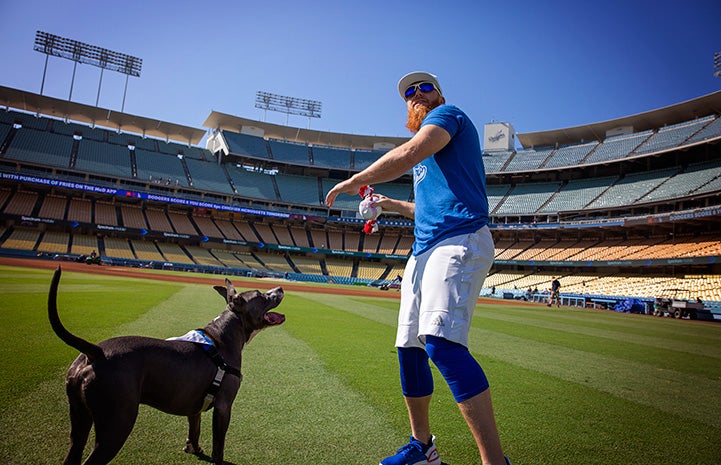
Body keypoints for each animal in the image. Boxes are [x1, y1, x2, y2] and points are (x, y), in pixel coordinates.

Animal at [47, 266, 284, 462]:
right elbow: (219, 447)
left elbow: (195, 430)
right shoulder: (224, 406)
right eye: (261, 296)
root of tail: (95, 352)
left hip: (79, 416)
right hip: (117, 424)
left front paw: (194, 448)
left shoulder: (194, 405)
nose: (281, 287)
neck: (223, 336)